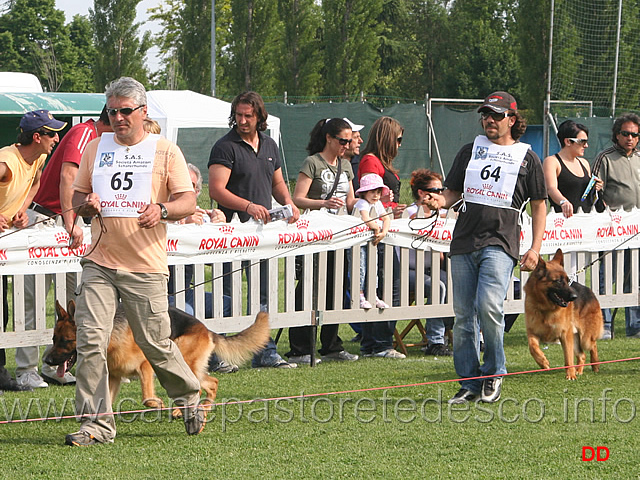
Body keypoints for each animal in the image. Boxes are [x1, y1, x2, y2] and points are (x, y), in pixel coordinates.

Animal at [44, 300, 270, 408]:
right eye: (54, 339)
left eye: (66, 341)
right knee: (211, 383)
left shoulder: (145, 366)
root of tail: (206, 328)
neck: (110, 337)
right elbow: (104, 401)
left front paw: (157, 403)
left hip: (180, 364)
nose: (47, 360)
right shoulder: (114, 377)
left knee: (197, 387)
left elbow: (147, 397)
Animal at [524, 249, 600, 380]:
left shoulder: (565, 335)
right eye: (558, 281)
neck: (545, 308)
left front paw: (570, 375)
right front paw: (543, 362)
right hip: (575, 339)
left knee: (593, 346)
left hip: (584, 338)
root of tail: (589, 290)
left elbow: (568, 358)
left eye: (567, 280)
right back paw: (579, 371)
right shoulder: (532, 333)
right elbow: (532, 347)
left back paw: (594, 366)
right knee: (582, 355)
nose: (574, 297)